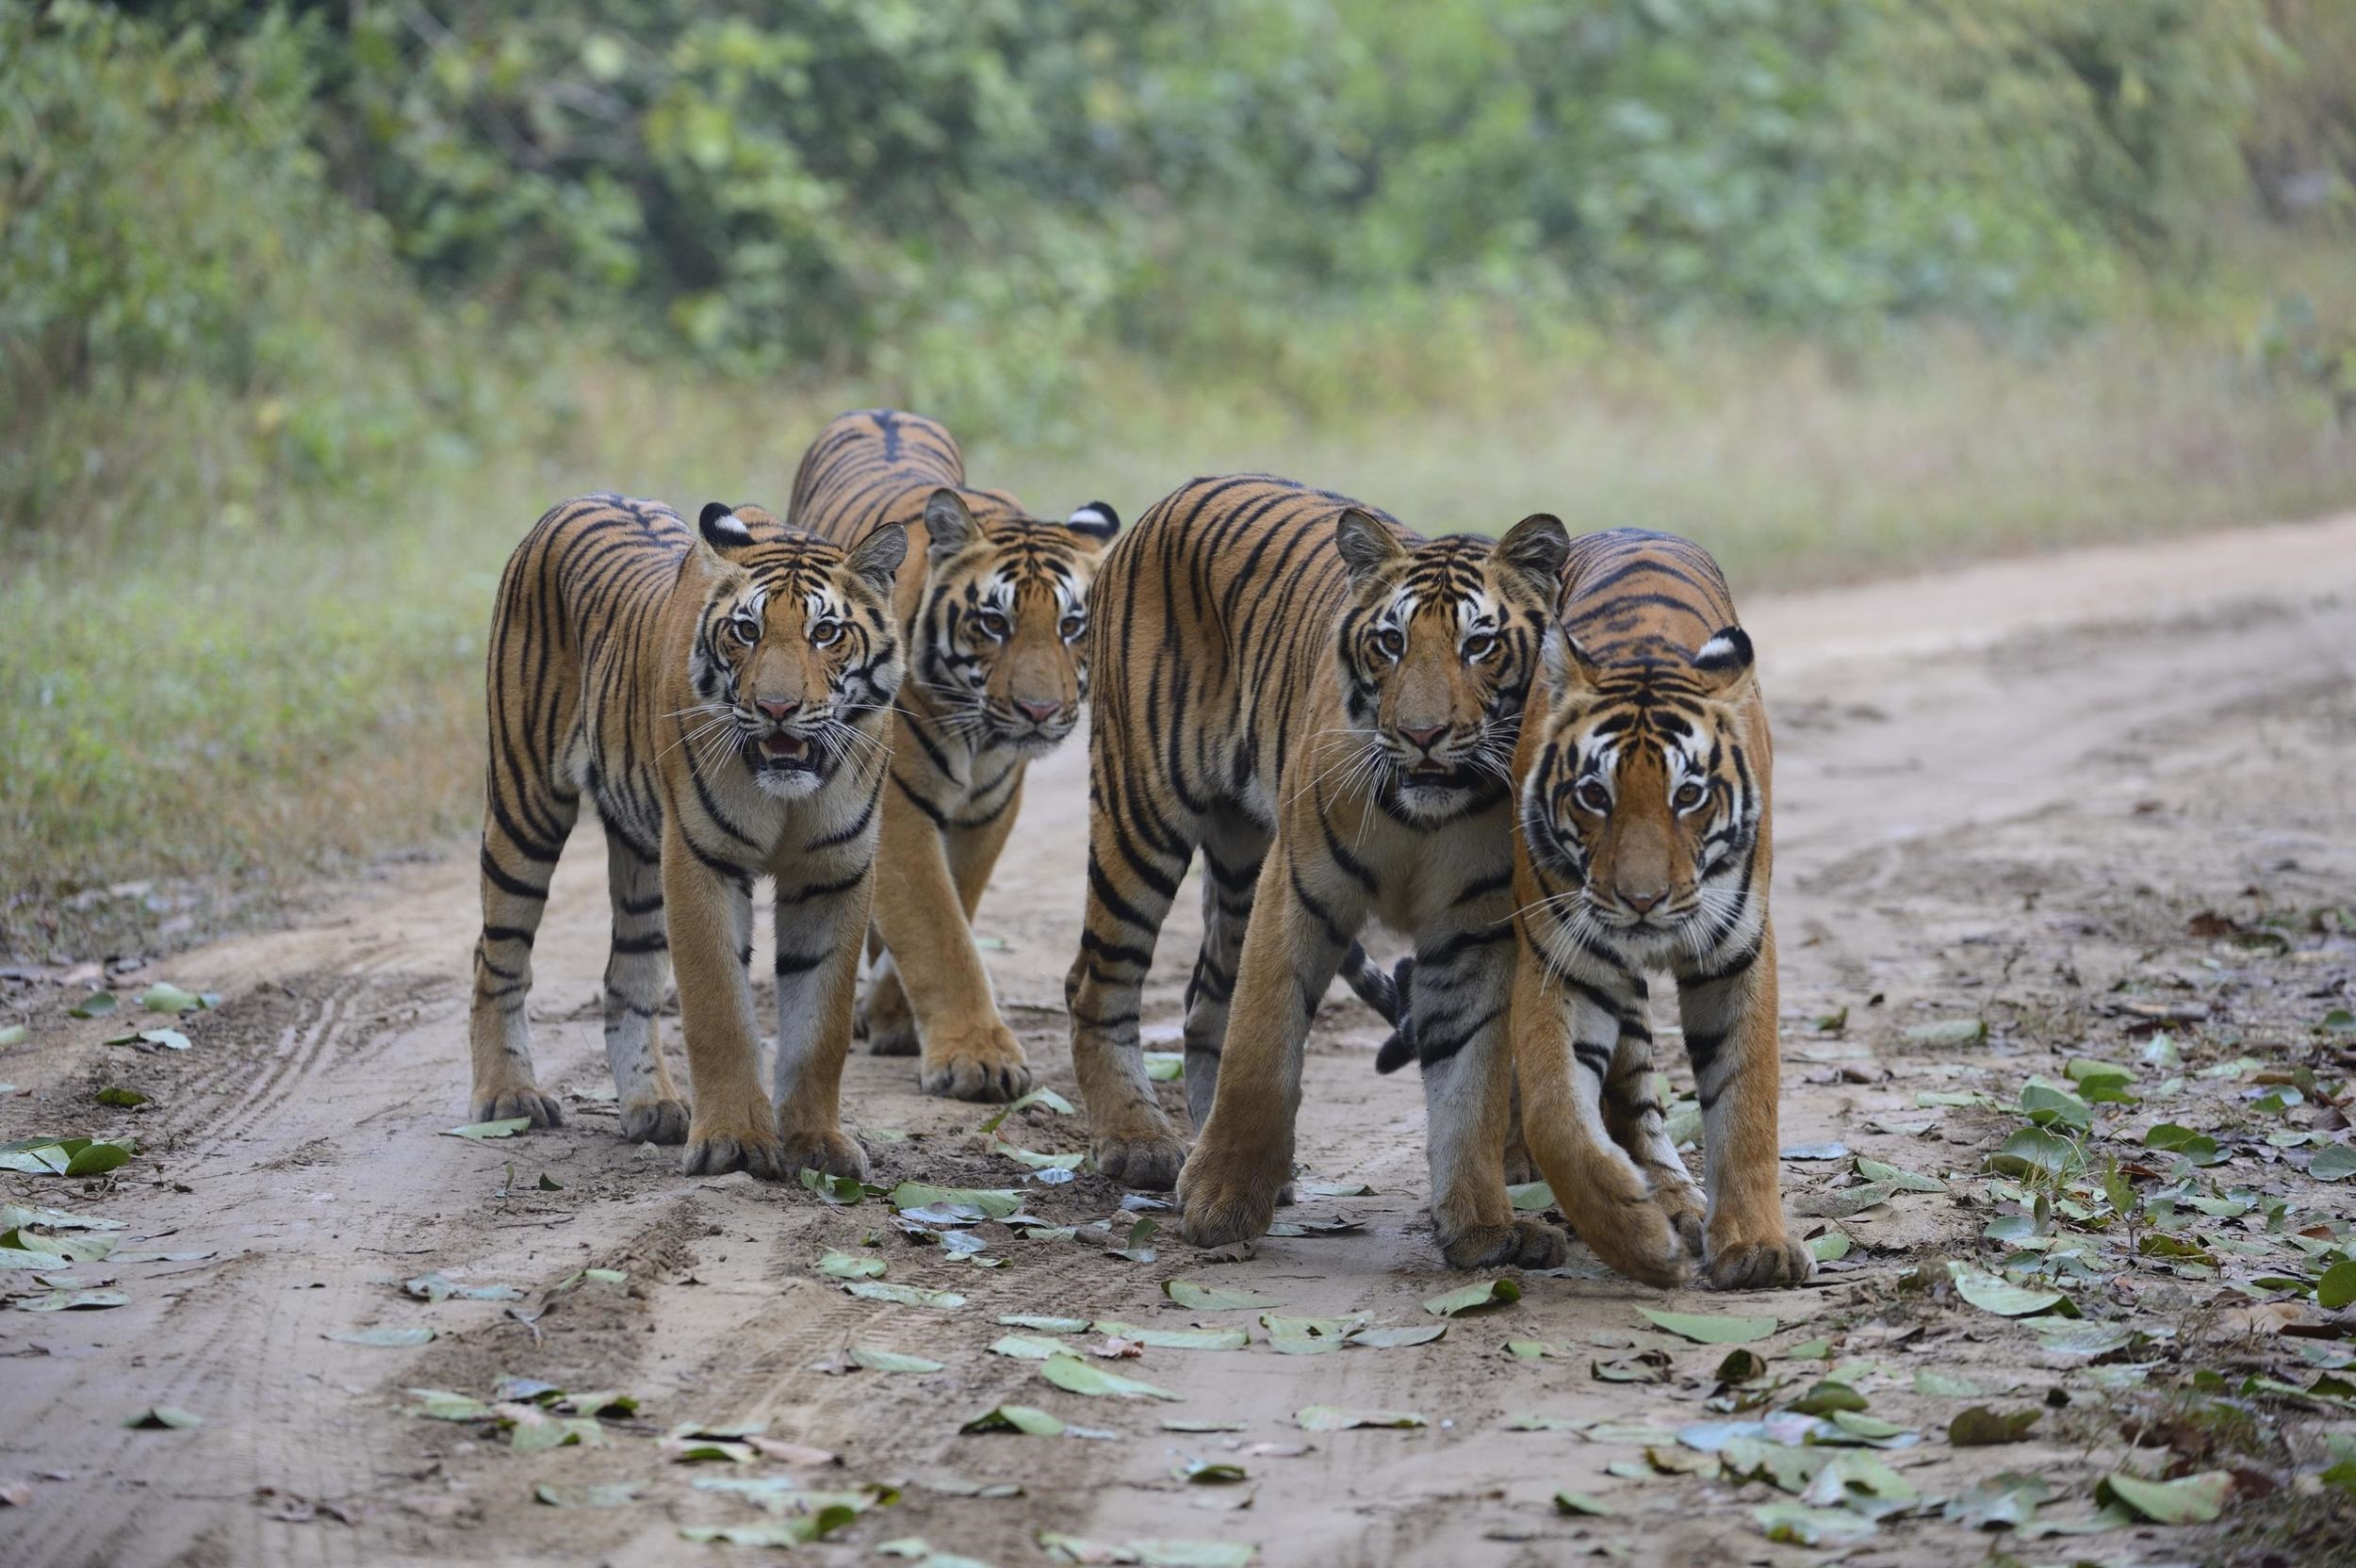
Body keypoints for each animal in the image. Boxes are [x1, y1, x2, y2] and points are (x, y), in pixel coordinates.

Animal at [464, 489, 905, 1172]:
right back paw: (508, 1095)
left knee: (625, 980)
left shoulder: (836, 872)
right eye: (747, 631)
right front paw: (733, 1142)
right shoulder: (701, 859)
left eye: (825, 632)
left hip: (642, 854)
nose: (777, 708)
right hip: (526, 802)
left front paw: (818, 1144)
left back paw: (652, 1104)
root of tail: (580, 496)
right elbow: (718, 1008)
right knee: (496, 956)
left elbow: (822, 1026)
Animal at [792, 409, 1121, 1106]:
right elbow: (937, 927)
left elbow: (955, 907)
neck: (980, 739)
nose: (1039, 711)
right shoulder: (895, 805)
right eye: (994, 624)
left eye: (1072, 627)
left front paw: (897, 1016)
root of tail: (881, 411)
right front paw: (978, 1060)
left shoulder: (990, 808)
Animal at [1065, 470, 1574, 1262]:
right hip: (1141, 811)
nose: (1421, 734)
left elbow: (1471, 1083)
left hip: (1240, 856)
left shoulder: (1474, 928)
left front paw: (1482, 1226)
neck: (1425, 813)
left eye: (1479, 644)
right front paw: (1221, 1203)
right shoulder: (1300, 891)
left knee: (1204, 1001)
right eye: (1391, 642)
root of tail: (1180, 490)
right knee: (1100, 980)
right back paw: (1140, 1142)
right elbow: (1263, 1051)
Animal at [1498, 525, 1809, 1281]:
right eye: (1594, 795)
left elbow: (1748, 1099)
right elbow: (1556, 1113)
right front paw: (1635, 1237)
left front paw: (1757, 1248)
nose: (1642, 900)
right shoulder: (1563, 960)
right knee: (1628, 1094)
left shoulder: (1739, 953)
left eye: (1688, 795)